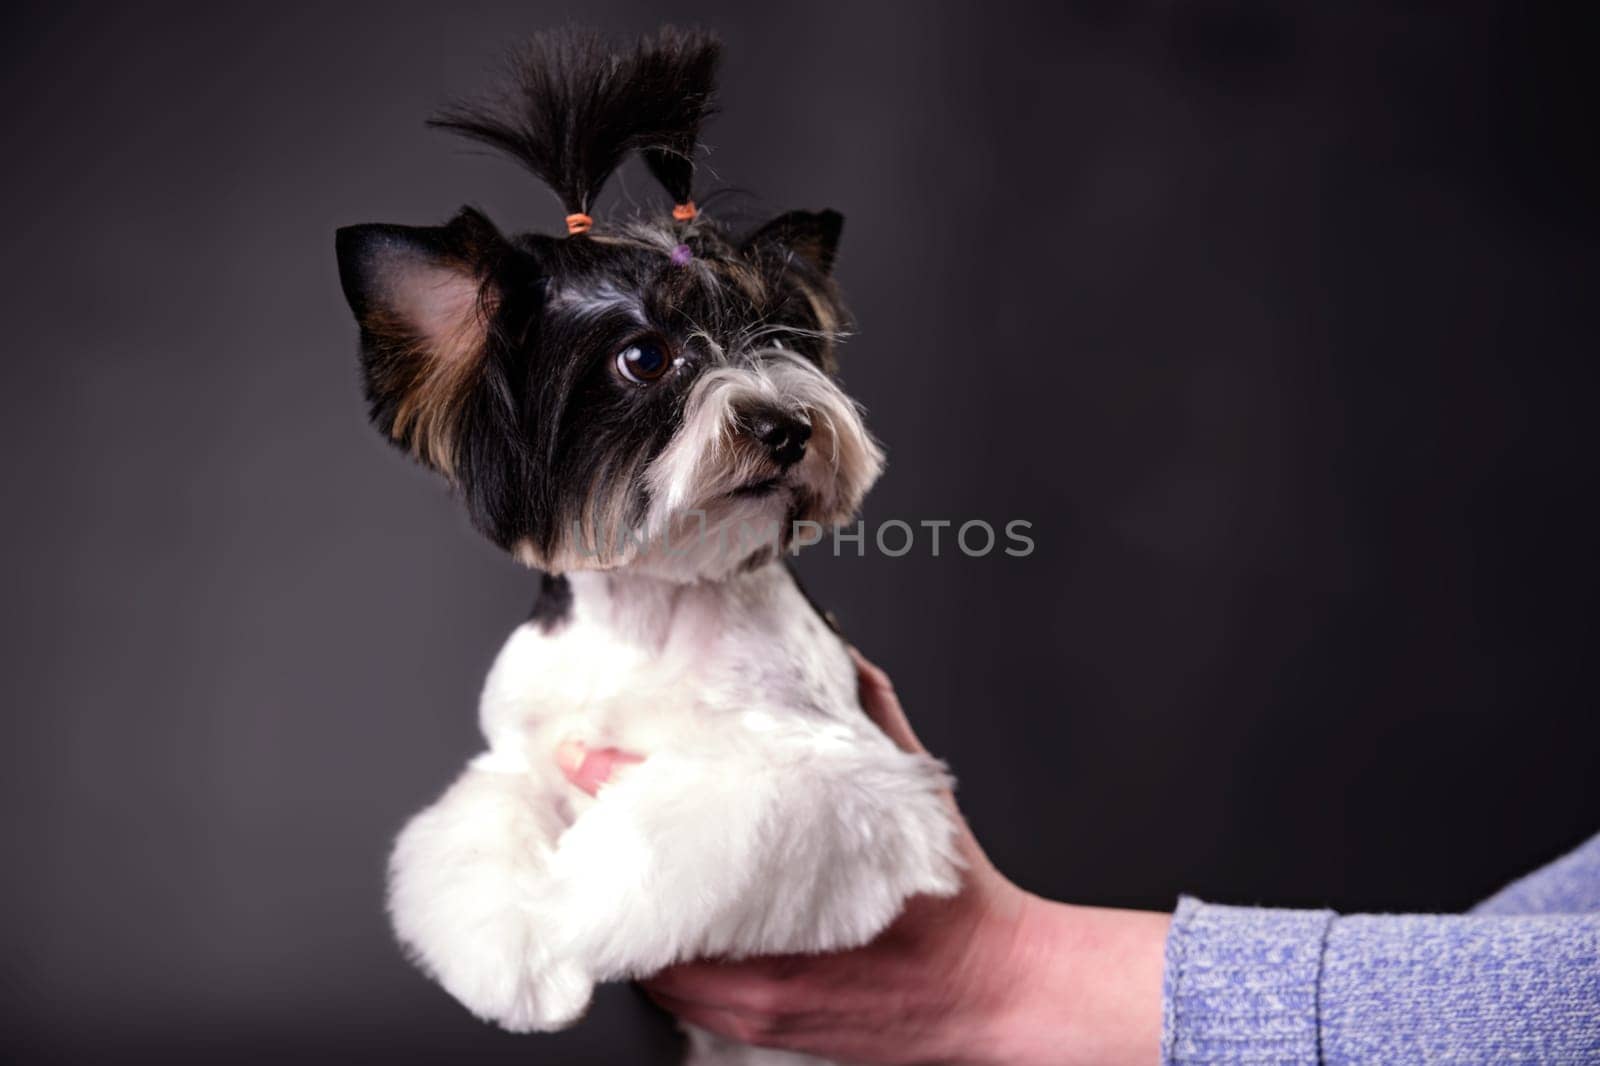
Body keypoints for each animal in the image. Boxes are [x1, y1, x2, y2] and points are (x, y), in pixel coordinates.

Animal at [336, 27, 960, 1062]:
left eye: (784, 337)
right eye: (644, 358)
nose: (787, 425)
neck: (658, 599)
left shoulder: (836, 775)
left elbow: (665, 833)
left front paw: (574, 912)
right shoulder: (530, 753)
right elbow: (486, 823)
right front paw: (523, 958)